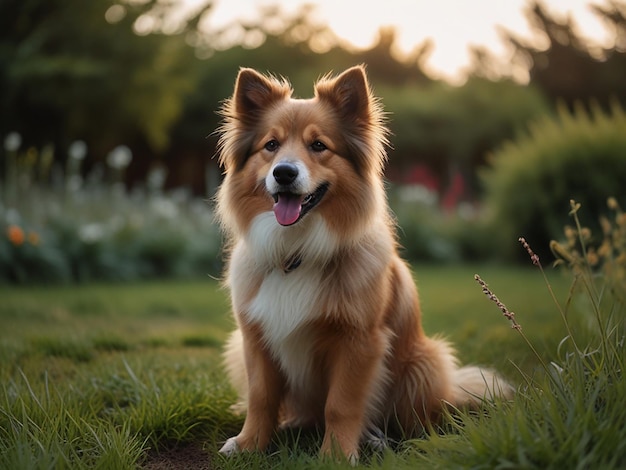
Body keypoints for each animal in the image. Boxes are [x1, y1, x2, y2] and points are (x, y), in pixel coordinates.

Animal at [214, 64, 512, 460]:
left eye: (318, 145)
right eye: (271, 145)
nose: (284, 173)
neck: (297, 250)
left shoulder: (359, 341)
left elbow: (341, 405)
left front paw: (336, 456)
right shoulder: (254, 338)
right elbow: (261, 397)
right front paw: (249, 444)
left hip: (425, 360)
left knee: (409, 419)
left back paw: (375, 437)